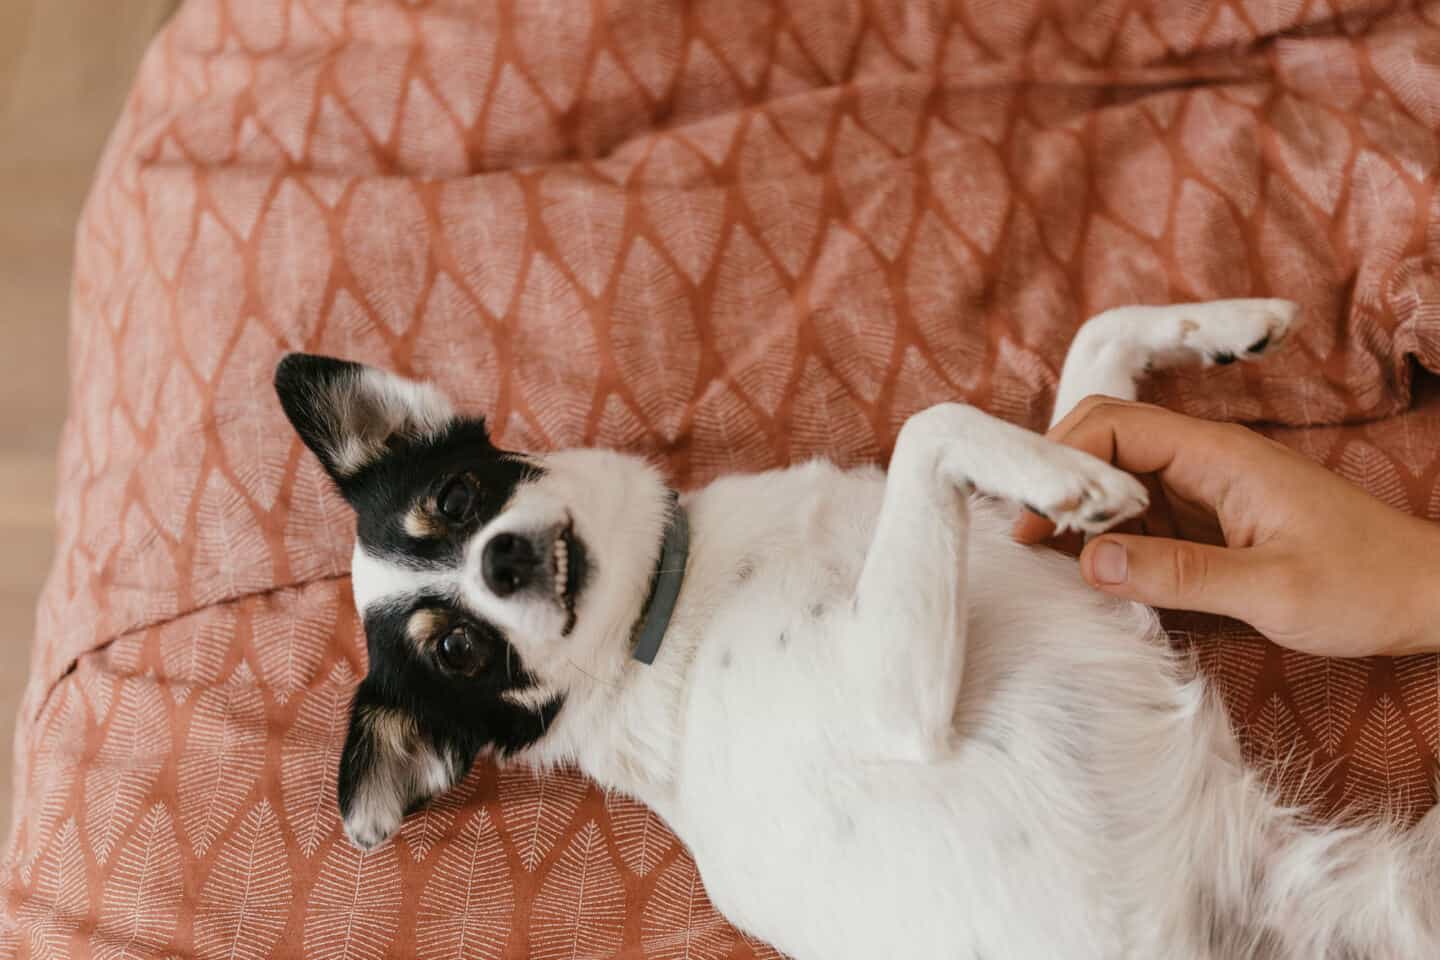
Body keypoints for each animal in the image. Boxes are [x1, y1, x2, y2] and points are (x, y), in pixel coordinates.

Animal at [272, 296, 1440, 955]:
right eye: (457, 649)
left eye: (457, 497)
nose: (503, 560)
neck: (667, 605)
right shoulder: (901, 704)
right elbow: (936, 423)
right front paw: (1080, 476)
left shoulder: (1025, 540)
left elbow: (1095, 343)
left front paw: (1232, 322)